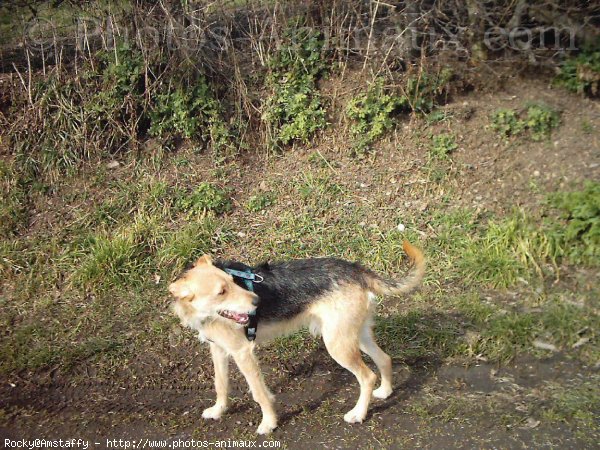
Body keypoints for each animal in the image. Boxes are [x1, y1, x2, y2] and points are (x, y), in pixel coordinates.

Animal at [166, 241, 424, 434]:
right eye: (222, 291)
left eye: (232, 282)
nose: (257, 302)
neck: (206, 314)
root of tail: (355, 269)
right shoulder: (218, 350)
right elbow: (220, 385)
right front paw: (218, 410)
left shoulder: (242, 353)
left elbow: (259, 393)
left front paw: (269, 423)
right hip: (356, 336)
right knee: (384, 359)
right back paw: (385, 392)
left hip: (338, 345)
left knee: (368, 376)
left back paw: (358, 414)